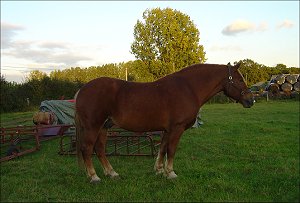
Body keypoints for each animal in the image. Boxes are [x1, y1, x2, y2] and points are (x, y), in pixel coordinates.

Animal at [74, 61, 253, 182]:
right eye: (240, 80)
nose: (250, 100)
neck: (189, 88)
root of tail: (81, 90)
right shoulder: (177, 128)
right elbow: (171, 150)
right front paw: (170, 173)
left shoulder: (167, 129)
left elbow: (162, 149)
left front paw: (159, 170)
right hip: (93, 127)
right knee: (87, 149)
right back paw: (94, 176)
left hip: (104, 127)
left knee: (99, 149)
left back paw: (111, 173)